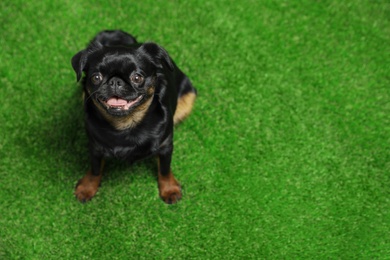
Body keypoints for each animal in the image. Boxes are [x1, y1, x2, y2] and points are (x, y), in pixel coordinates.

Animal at [70, 30, 197, 204]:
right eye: (96, 77)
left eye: (137, 78)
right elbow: (95, 169)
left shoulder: (165, 145)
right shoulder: (95, 147)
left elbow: (164, 169)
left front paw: (169, 189)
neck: (126, 124)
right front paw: (88, 187)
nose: (115, 81)